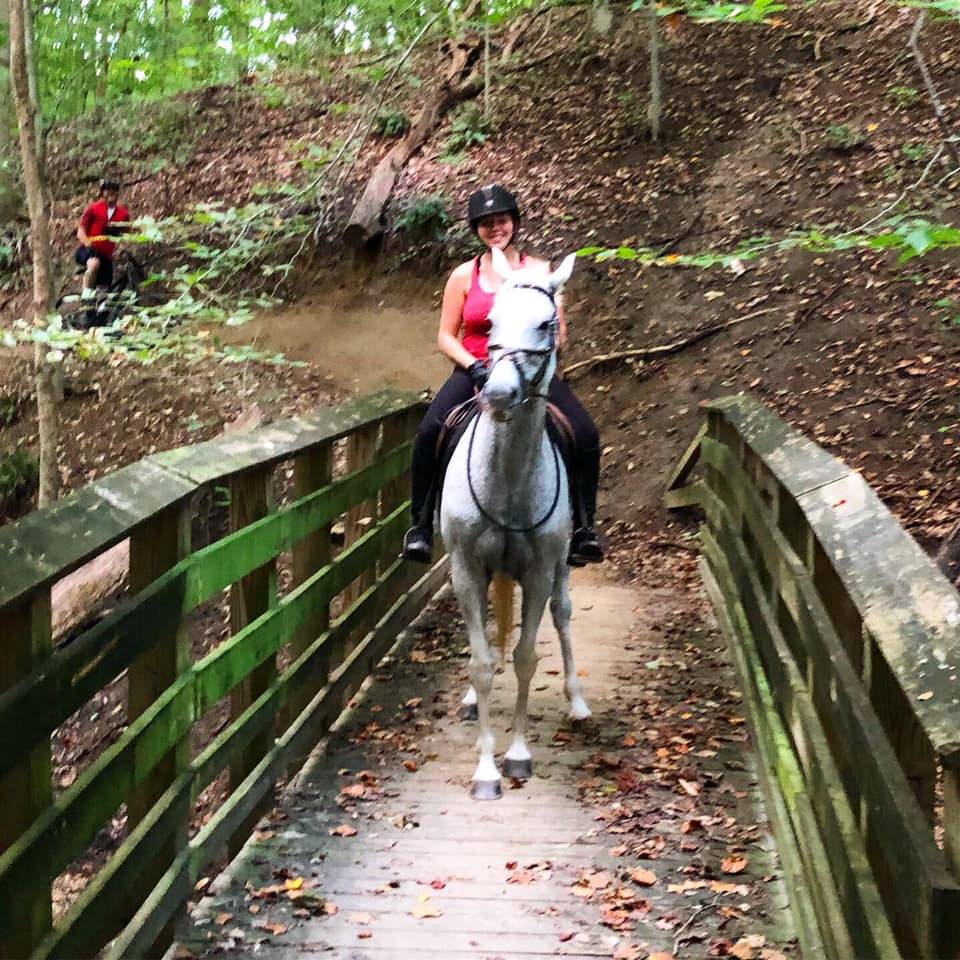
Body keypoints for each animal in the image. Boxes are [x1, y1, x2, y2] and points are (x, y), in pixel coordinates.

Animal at [442, 249, 592, 804]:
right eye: (490, 324)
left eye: (547, 323)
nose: (499, 393)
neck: (506, 478)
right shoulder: (465, 569)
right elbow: (481, 661)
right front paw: (485, 770)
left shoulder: (539, 570)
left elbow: (527, 657)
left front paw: (517, 755)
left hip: (564, 563)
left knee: (563, 614)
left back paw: (578, 702)